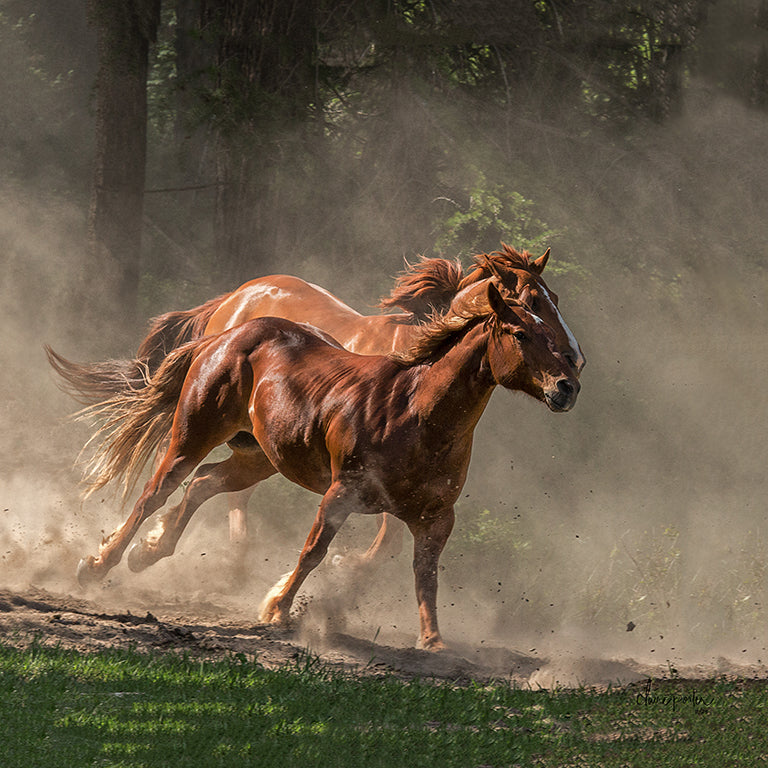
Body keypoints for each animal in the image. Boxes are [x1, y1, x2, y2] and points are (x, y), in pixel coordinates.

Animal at [72, 280, 580, 652]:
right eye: (521, 332)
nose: (568, 385)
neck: (415, 409)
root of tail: (229, 333)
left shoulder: (436, 517)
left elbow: (426, 574)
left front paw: (433, 641)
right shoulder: (343, 492)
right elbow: (314, 550)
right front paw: (277, 608)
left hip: (258, 456)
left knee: (202, 484)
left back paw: (147, 553)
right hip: (192, 435)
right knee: (156, 492)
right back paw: (98, 565)